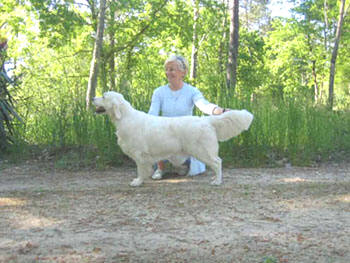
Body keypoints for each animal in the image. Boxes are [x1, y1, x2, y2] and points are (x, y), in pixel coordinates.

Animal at [91, 92, 253, 188]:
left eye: (104, 96)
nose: (92, 98)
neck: (125, 118)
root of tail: (206, 120)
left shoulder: (139, 153)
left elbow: (140, 170)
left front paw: (138, 181)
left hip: (202, 151)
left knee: (218, 162)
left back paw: (217, 181)